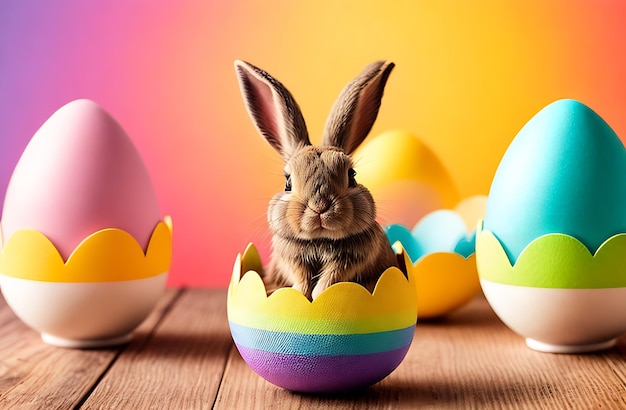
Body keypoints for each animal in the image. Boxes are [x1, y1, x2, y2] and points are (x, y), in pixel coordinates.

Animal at [232, 57, 398, 300]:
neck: (320, 240)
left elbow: (329, 280)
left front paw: (318, 298)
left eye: (352, 176)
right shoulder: (292, 259)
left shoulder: (348, 261)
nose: (320, 207)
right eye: (288, 182)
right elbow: (301, 279)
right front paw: (300, 296)